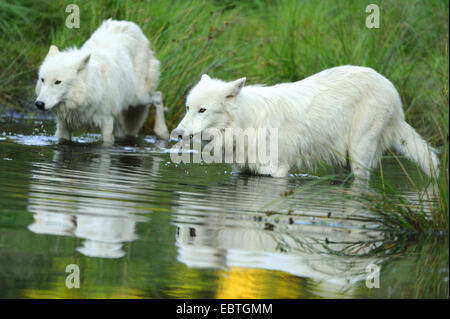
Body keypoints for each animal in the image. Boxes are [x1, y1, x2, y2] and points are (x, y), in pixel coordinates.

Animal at [34, 19, 169, 145]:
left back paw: (162, 132)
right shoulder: (64, 126)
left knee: (158, 96)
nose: (39, 104)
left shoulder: (107, 122)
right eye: (43, 80)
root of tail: (128, 23)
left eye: (57, 82)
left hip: (136, 98)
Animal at [173, 65, 440, 180]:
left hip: (359, 154)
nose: (177, 133)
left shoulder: (276, 172)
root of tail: (391, 88)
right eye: (188, 108)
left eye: (203, 110)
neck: (245, 123)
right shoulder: (243, 170)